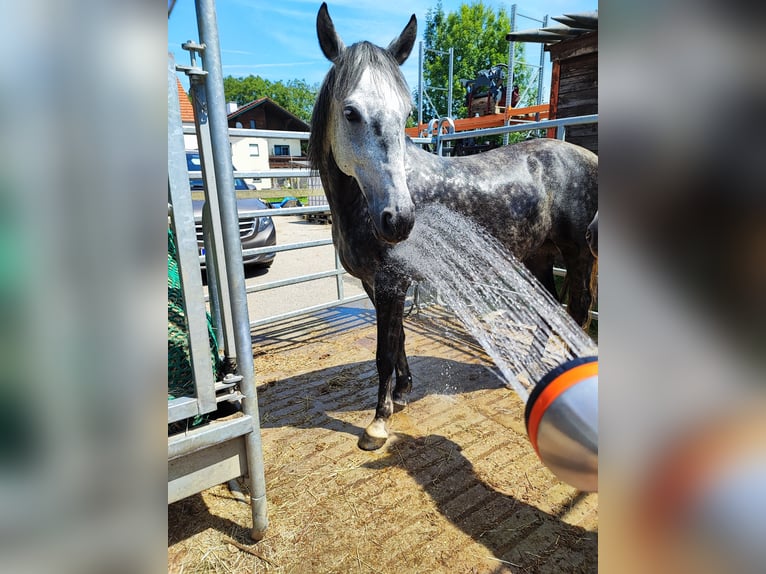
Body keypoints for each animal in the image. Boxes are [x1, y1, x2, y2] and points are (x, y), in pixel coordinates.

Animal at [309, 3, 598, 451]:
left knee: (578, 313)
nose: (399, 219)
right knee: (549, 309)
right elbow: (399, 341)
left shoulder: (390, 282)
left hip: (578, 254)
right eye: (350, 112)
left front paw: (378, 423)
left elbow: (384, 352)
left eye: (406, 115)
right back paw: (529, 370)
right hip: (538, 255)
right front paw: (402, 393)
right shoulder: (375, 284)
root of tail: (587, 157)